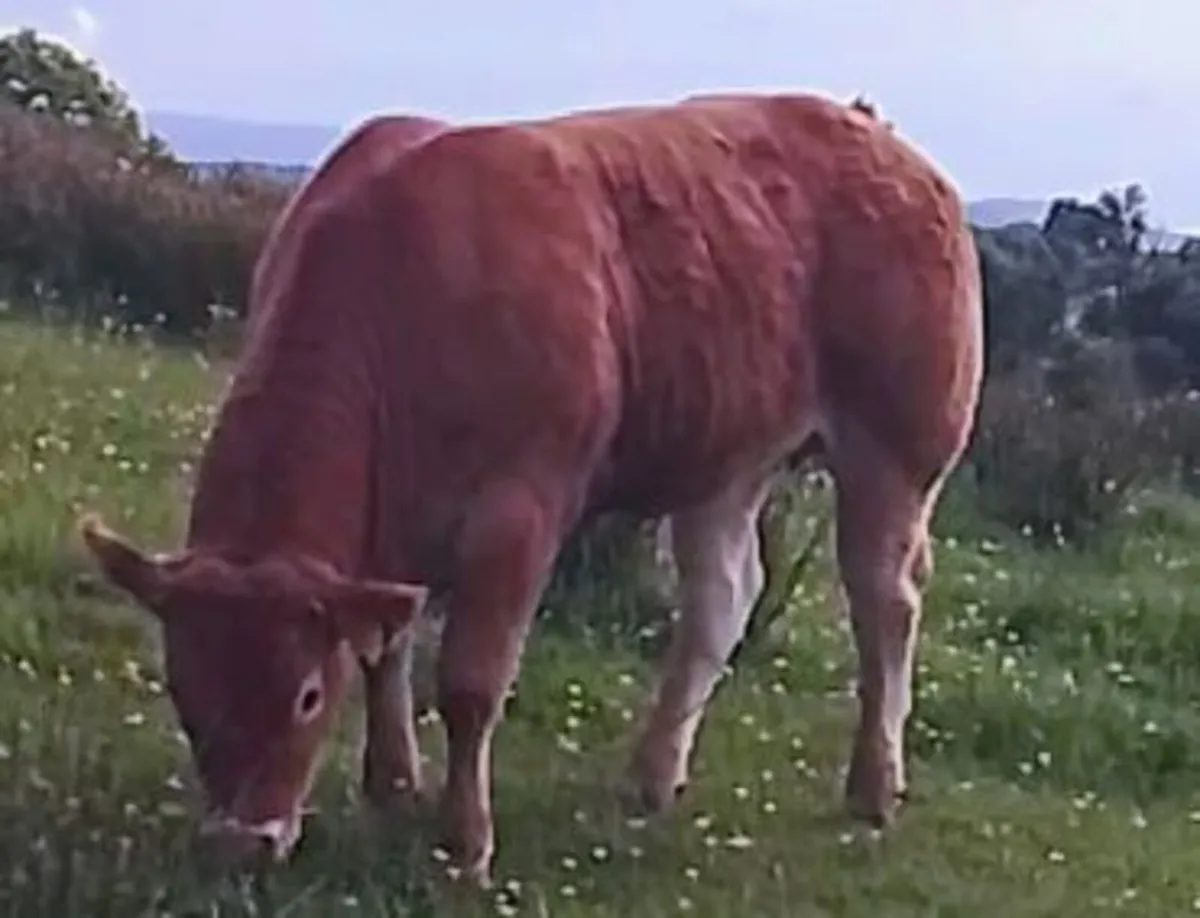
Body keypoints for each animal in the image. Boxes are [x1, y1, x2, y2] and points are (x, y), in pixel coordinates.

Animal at [77, 90, 984, 886]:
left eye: (305, 697)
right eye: (183, 687)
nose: (241, 844)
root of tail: (882, 138)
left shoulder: (520, 509)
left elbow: (471, 685)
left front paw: (464, 846)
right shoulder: (386, 536)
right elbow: (384, 648)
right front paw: (392, 786)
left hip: (900, 446)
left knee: (886, 602)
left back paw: (873, 787)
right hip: (730, 450)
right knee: (722, 600)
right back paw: (652, 775)